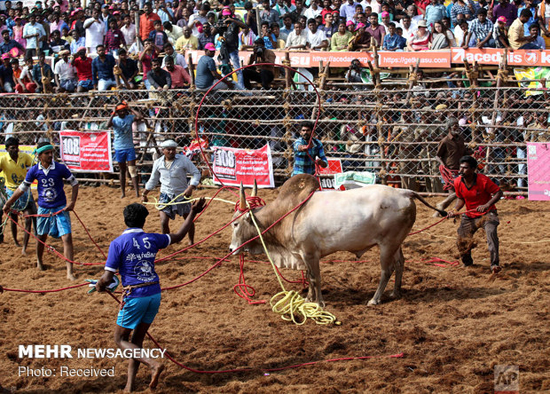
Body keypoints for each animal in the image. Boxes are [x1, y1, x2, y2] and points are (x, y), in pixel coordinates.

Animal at [229, 175, 448, 308]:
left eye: (236, 223)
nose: (231, 248)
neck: (288, 214)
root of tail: (404, 192)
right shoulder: (303, 255)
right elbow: (310, 277)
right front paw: (308, 299)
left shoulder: (310, 253)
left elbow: (315, 278)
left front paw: (319, 303)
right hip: (397, 243)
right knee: (401, 263)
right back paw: (395, 293)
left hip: (388, 244)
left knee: (387, 270)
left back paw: (374, 299)